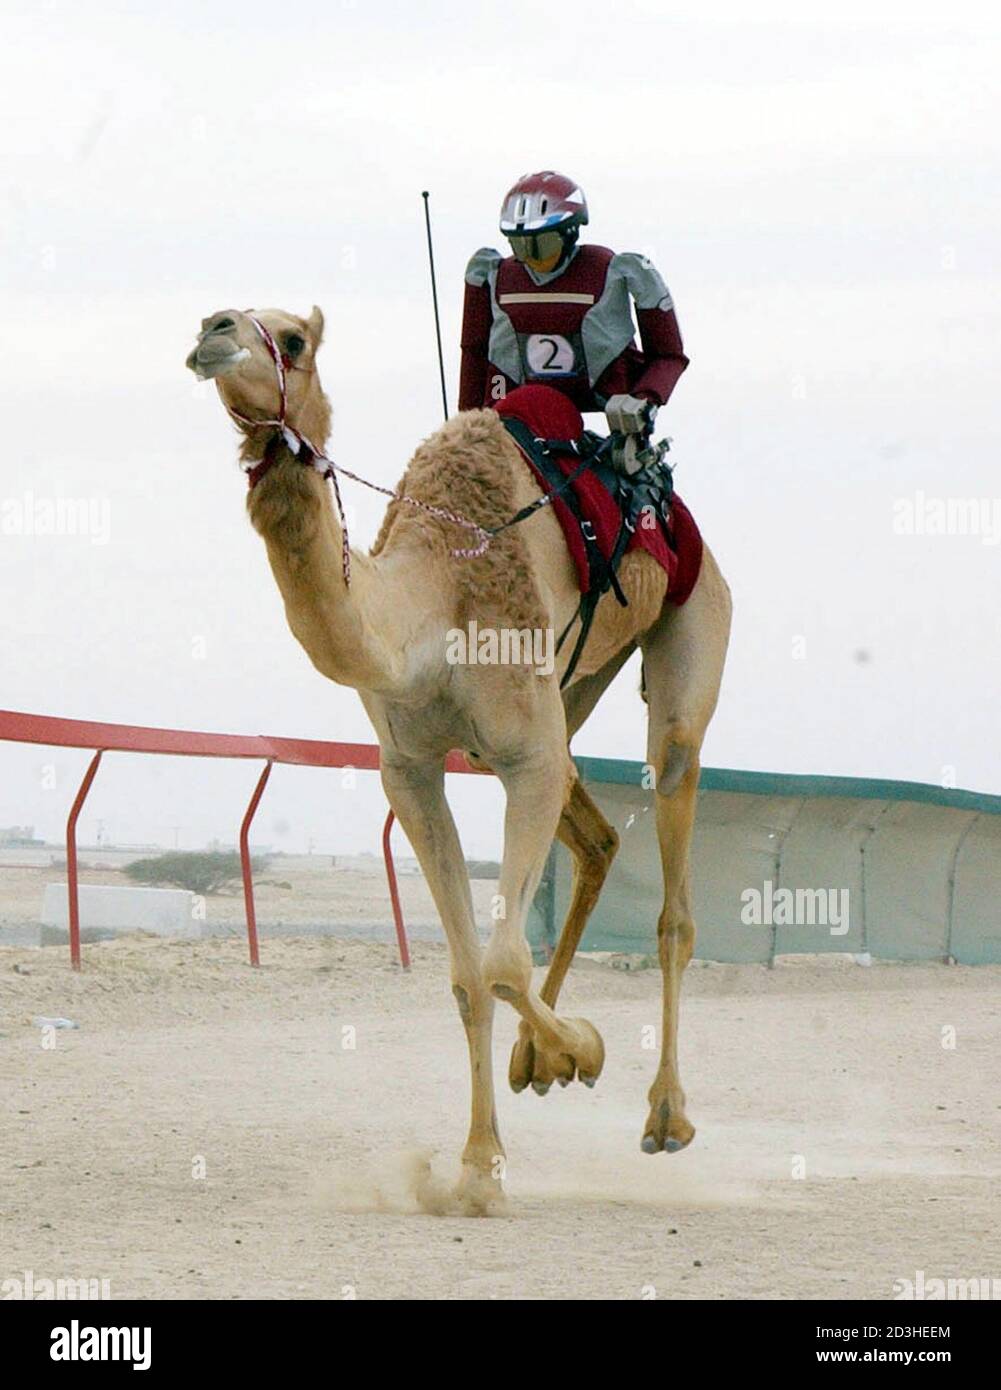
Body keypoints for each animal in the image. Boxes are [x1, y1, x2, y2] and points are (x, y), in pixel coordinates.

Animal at [186, 301, 728, 1206]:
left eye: (291, 337)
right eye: (221, 315)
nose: (212, 331)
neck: (433, 598)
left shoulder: (523, 757)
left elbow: (504, 960)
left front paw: (583, 1047)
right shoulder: (410, 769)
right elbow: (470, 975)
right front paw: (479, 1166)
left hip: (691, 621)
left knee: (675, 862)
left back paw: (665, 1115)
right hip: (573, 686)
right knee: (596, 835)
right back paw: (532, 1063)